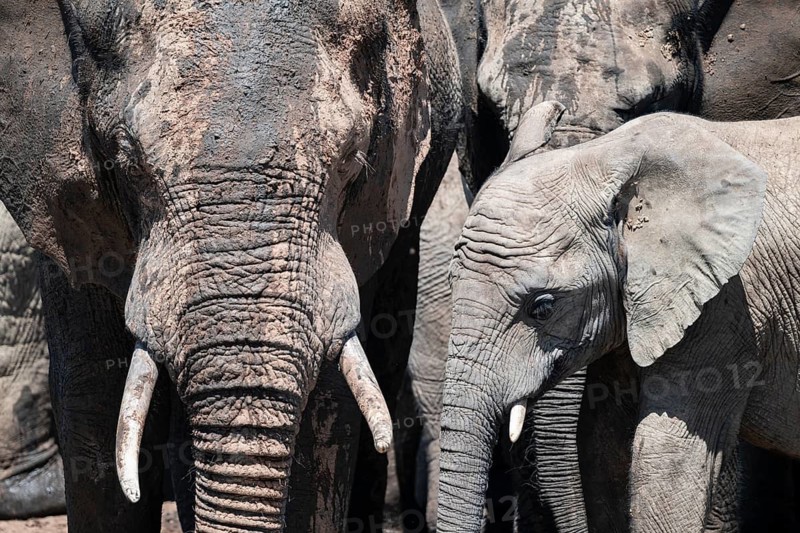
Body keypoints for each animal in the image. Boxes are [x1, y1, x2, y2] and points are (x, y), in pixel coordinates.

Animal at [402, 1, 800, 531]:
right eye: (490, 106)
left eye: (542, 307)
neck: (606, 159)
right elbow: (601, 444)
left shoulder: (728, 303)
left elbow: (670, 455)